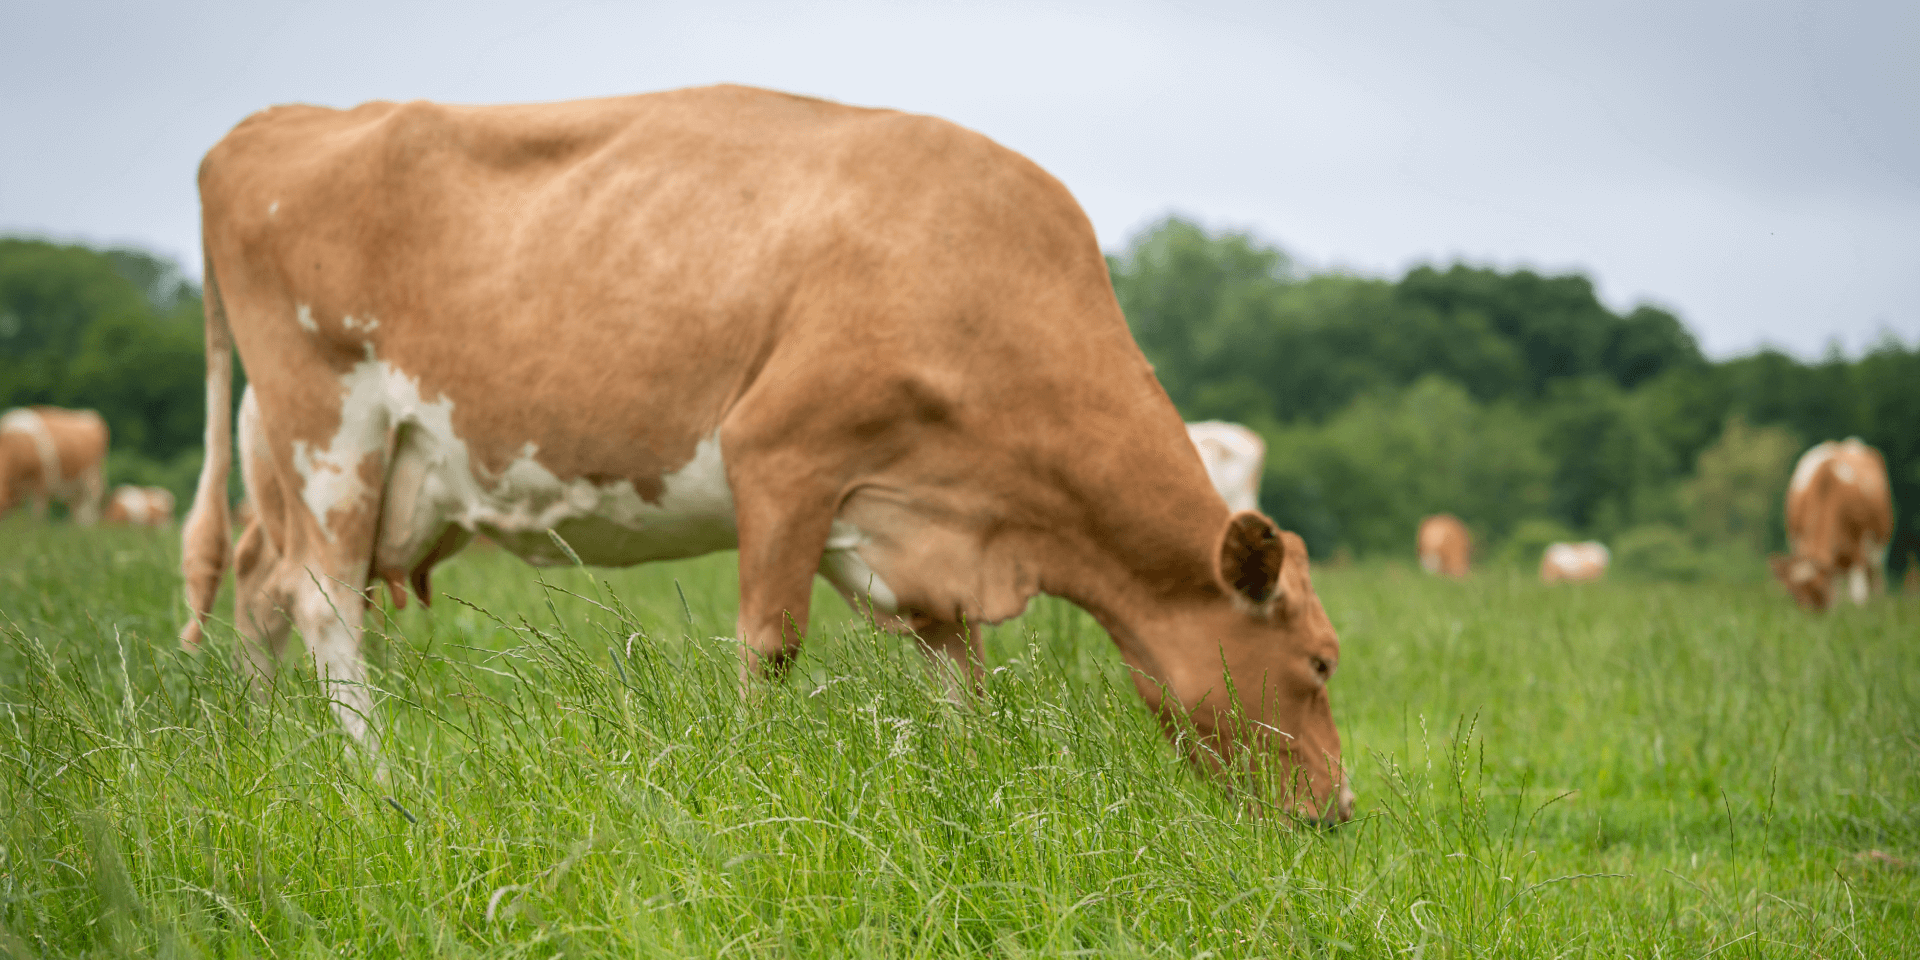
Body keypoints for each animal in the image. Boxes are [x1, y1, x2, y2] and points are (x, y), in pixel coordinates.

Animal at [178, 85, 1352, 821]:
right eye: (1323, 662)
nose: (1339, 812)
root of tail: (271, 124)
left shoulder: (924, 535)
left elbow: (960, 678)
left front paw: (975, 779)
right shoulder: (783, 458)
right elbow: (771, 648)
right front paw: (750, 776)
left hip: (305, 460)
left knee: (262, 588)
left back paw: (258, 747)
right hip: (329, 428)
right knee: (327, 609)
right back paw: (370, 773)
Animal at [1771, 439, 1892, 610]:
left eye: (1819, 589)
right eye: (1794, 593)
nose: (1811, 614)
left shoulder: (1860, 545)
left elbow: (1858, 592)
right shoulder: (1799, 542)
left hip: (1878, 548)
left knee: (1875, 577)